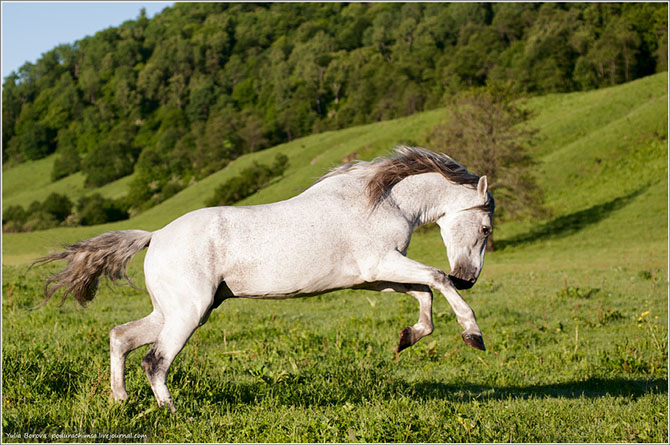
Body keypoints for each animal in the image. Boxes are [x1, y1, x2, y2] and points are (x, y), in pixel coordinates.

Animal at [39, 146, 496, 410]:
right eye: (486, 228)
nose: (469, 278)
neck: (383, 200)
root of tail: (155, 236)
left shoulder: (374, 276)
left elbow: (425, 292)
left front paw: (408, 337)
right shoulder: (381, 264)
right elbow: (436, 279)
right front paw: (473, 335)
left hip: (176, 311)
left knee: (121, 337)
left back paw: (120, 400)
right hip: (189, 313)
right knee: (155, 360)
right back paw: (172, 411)